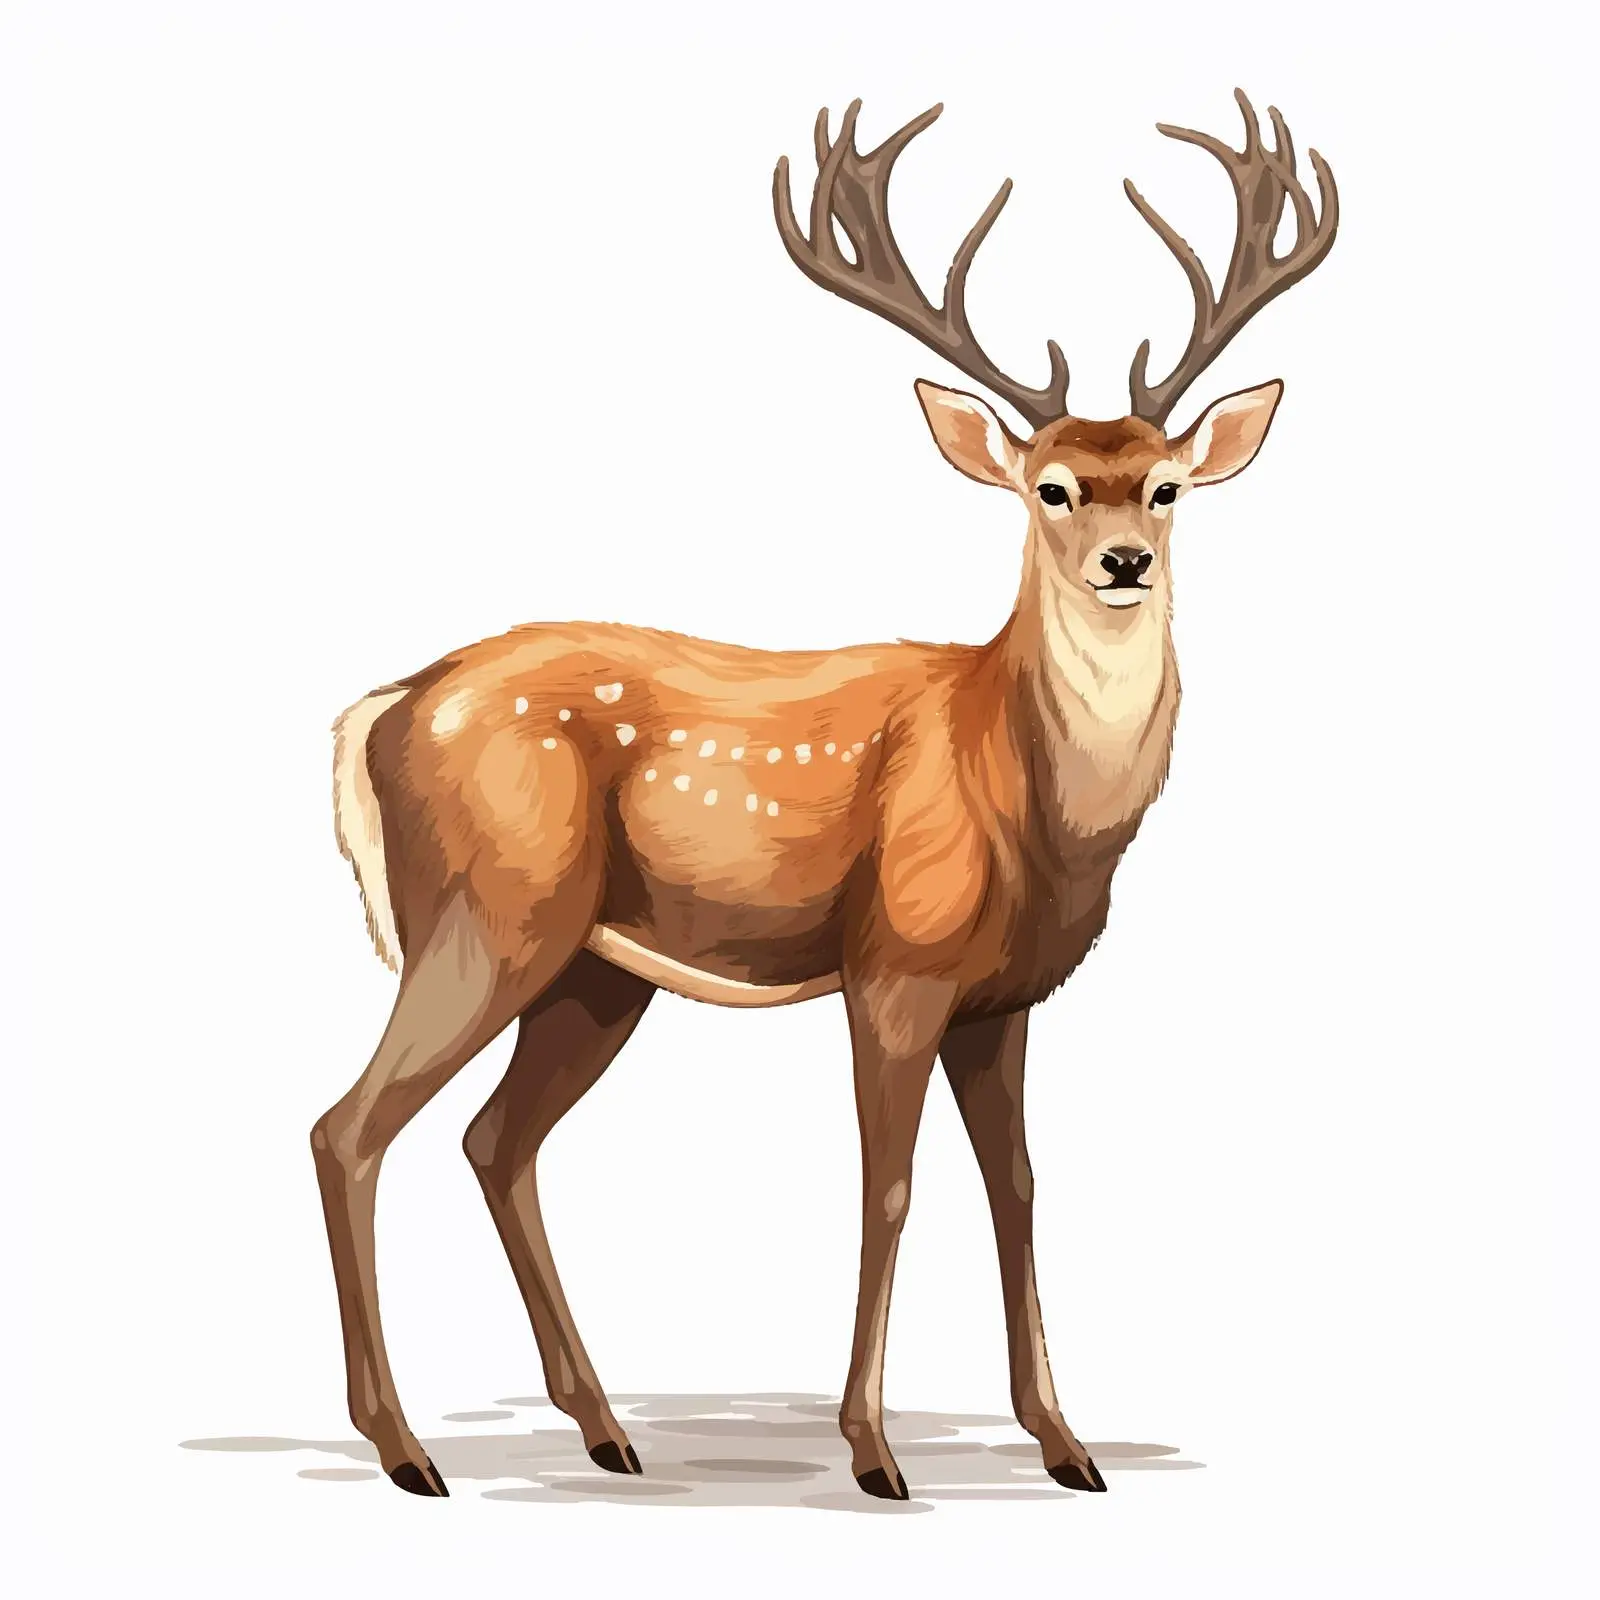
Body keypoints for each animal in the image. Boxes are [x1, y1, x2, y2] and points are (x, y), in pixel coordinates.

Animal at [313, 89, 1338, 1502]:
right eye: (1050, 486)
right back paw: (408, 1448)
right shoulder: (894, 962)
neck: (1024, 797)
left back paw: (605, 1427)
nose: (1126, 560)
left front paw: (1065, 1444)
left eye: (1166, 485)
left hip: (593, 969)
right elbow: (888, 1187)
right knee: (350, 1129)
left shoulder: (1003, 999)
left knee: (494, 1142)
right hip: (484, 914)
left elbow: (1020, 1186)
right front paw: (872, 1451)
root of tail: (382, 708)